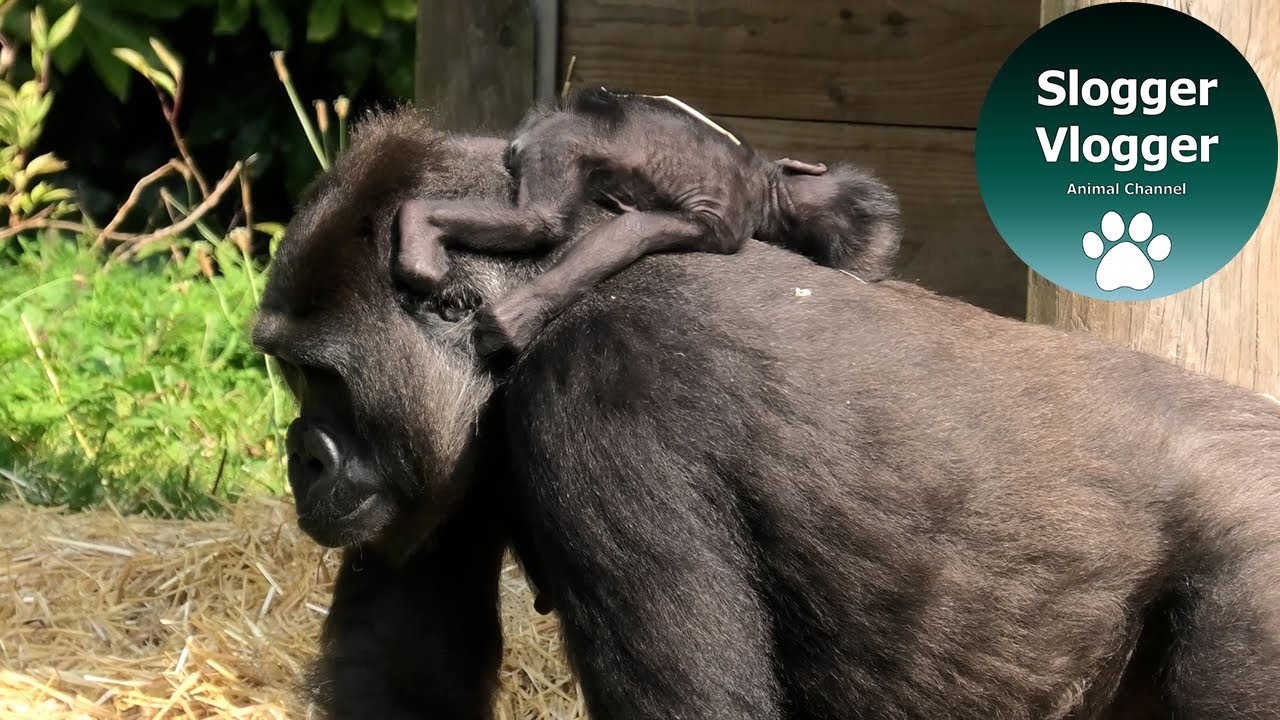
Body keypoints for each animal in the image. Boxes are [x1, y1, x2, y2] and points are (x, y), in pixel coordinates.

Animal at [392, 87, 903, 356]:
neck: (768, 190)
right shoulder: (728, 224)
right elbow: (632, 233)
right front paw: (514, 320)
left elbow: (631, 231)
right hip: (561, 143)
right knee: (540, 222)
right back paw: (418, 222)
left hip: (552, 144)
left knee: (536, 219)